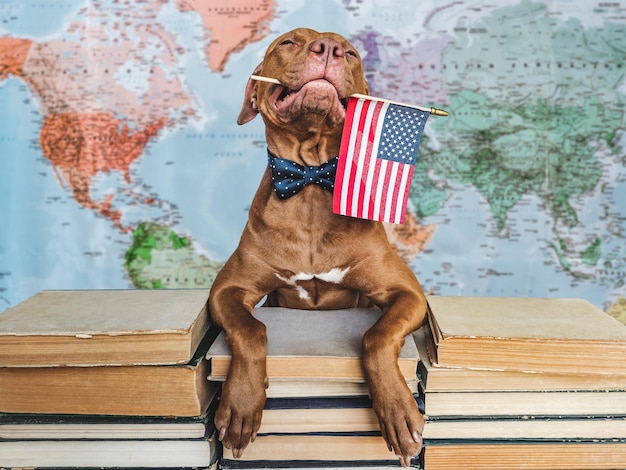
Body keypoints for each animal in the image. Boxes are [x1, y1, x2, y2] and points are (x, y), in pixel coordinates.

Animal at [207, 28, 426, 466]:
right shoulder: (227, 290)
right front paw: (241, 405)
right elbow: (251, 329)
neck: (309, 181)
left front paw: (398, 410)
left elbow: (376, 336)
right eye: (288, 42)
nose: (330, 49)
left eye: (353, 53)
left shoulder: (407, 294)